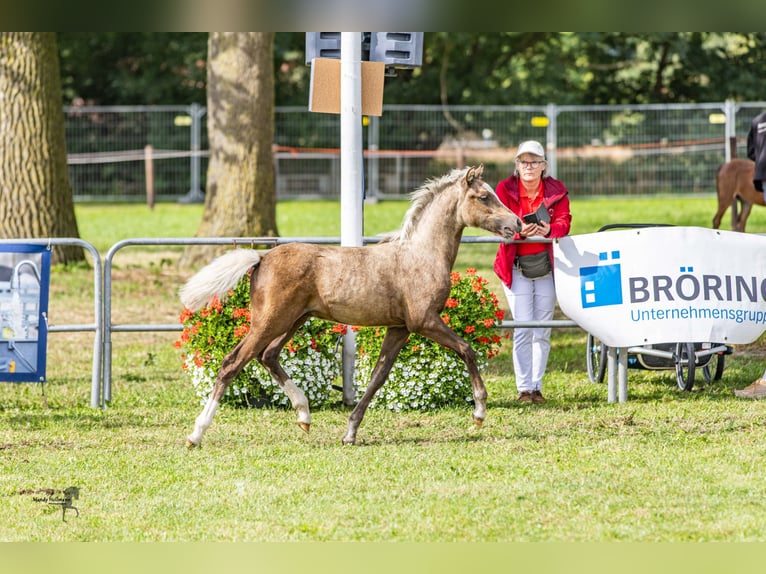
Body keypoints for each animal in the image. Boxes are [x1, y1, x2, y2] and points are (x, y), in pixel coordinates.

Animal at [183, 164, 524, 448]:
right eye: (484, 196)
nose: (517, 223)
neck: (421, 255)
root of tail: (261, 257)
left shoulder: (399, 328)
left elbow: (377, 376)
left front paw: (350, 432)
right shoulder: (424, 321)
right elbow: (467, 350)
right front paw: (479, 412)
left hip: (293, 320)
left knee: (268, 356)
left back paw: (304, 416)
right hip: (269, 321)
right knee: (233, 363)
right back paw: (196, 434)